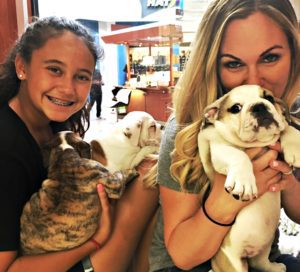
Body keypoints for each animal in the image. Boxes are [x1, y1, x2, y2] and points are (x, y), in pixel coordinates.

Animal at [197, 85, 300, 272]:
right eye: (235, 108)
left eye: (269, 98)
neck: (257, 143)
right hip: (232, 262)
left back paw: (274, 267)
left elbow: (286, 127)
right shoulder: (218, 150)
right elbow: (238, 154)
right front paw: (244, 183)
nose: (259, 106)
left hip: (263, 248)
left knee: (260, 262)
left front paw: (295, 146)